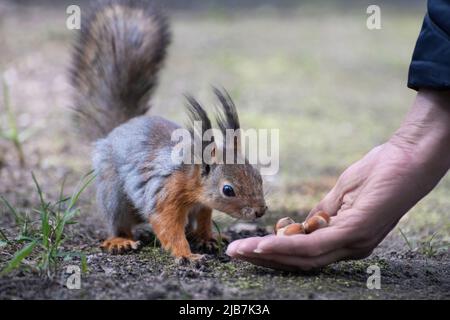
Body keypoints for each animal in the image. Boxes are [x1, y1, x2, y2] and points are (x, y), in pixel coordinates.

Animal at [70, 0, 268, 260]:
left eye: (258, 176)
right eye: (228, 190)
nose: (260, 211)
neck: (191, 181)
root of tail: (117, 130)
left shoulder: (202, 205)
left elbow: (203, 219)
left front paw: (207, 238)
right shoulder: (165, 194)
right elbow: (167, 226)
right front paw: (186, 255)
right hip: (112, 191)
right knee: (118, 222)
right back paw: (120, 240)